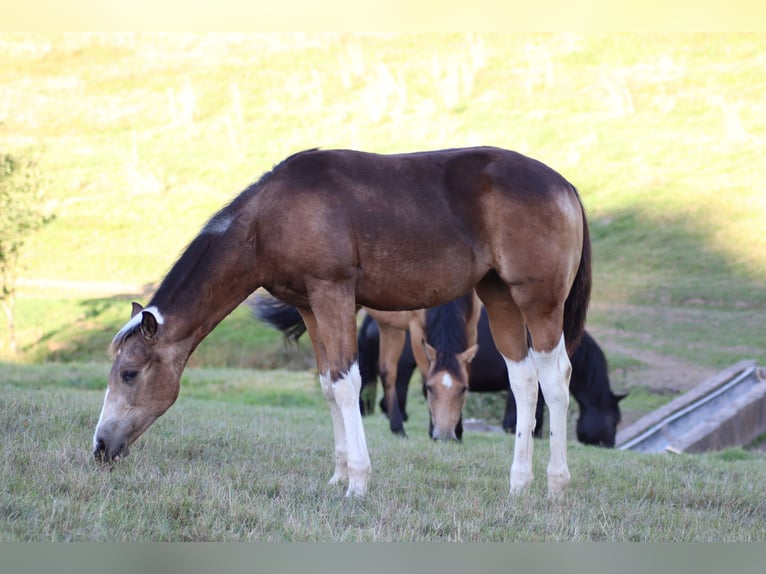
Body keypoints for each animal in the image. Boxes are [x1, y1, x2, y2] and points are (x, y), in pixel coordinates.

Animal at [93, 146, 592, 499]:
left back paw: (556, 484)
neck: (269, 219)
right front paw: (337, 477)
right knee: (524, 380)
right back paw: (519, 484)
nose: (100, 448)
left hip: (538, 302)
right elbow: (329, 384)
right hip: (500, 295)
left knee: (556, 378)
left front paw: (358, 481)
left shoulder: (333, 294)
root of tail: (565, 184)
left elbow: (349, 383)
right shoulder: (311, 307)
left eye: (129, 373)